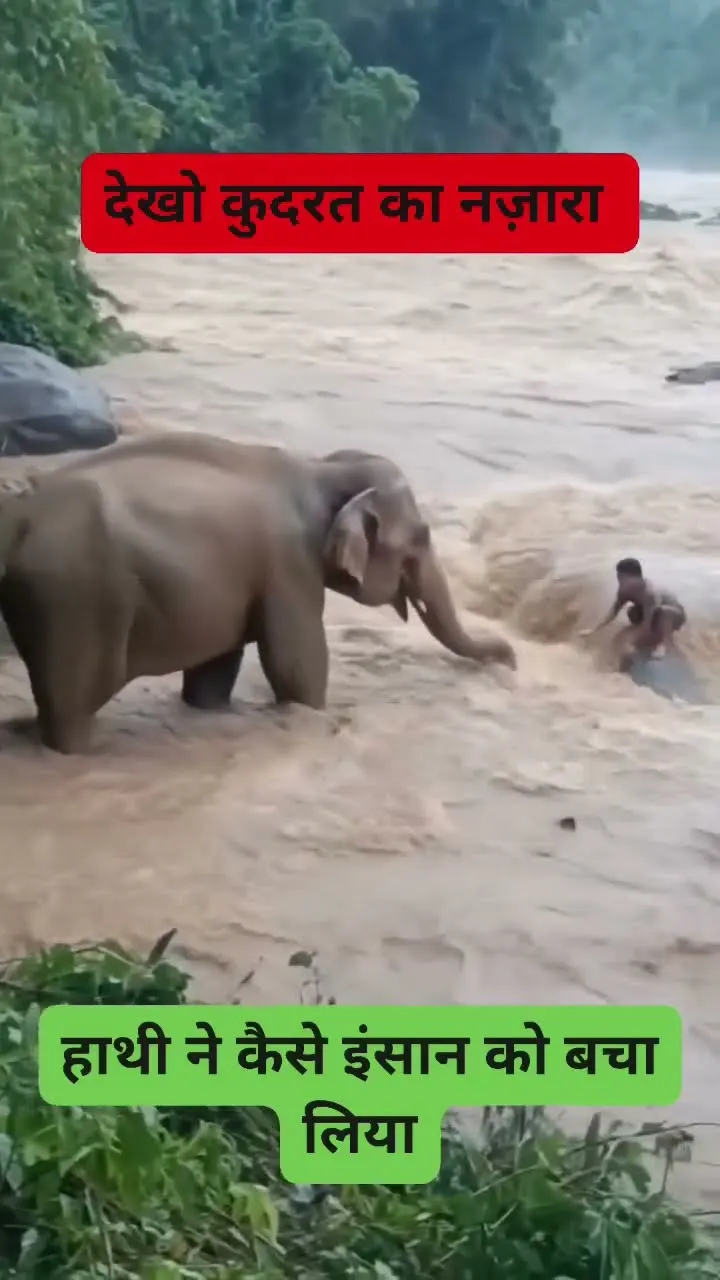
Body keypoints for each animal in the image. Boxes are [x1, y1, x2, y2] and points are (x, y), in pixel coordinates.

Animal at [0, 431, 516, 754]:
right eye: (421, 538)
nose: (511, 663)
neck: (319, 469)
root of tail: (20, 516)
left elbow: (214, 670)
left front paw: (209, 709)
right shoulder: (289, 566)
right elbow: (297, 665)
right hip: (77, 597)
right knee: (71, 707)